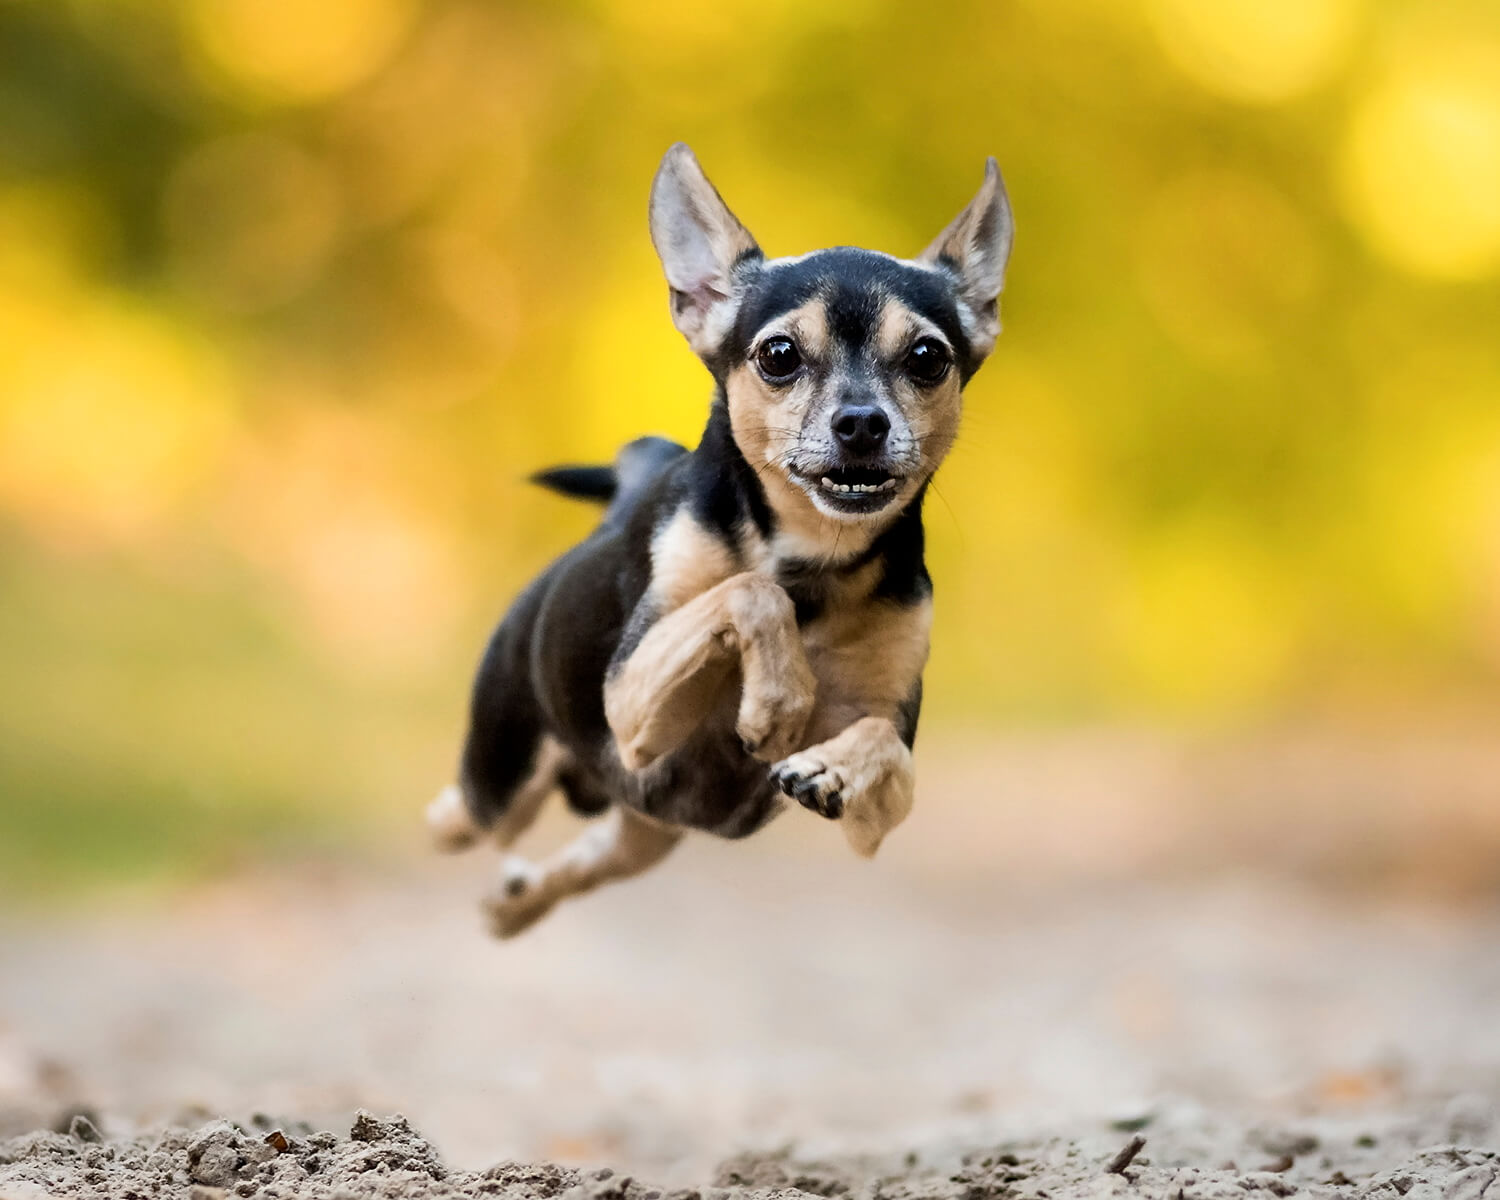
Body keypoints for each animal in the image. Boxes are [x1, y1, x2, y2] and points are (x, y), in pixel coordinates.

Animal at [432, 143, 1020, 936]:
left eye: (928, 357)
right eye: (779, 354)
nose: (862, 422)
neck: (813, 563)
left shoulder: (878, 804)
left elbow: (883, 750)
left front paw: (827, 762)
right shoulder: (631, 704)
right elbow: (749, 590)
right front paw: (778, 701)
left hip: (644, 826)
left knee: (591, 856)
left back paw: (515, 903)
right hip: (505, 782)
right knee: (458, 815)